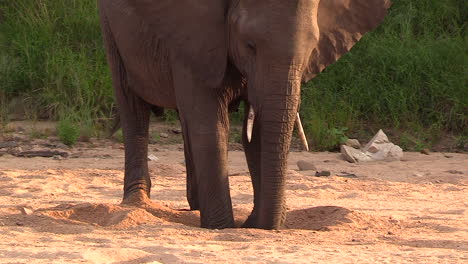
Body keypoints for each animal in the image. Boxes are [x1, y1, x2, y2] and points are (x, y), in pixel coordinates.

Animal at [98, 0, 392, 229]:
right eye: (250, 45)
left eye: (312, 49)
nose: (253, 223)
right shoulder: (195, 39)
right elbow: (210, 125)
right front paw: (221, 227)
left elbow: (258, 133)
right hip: (111, 29)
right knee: (132, 107)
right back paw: (137, 202)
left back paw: (195, 205)